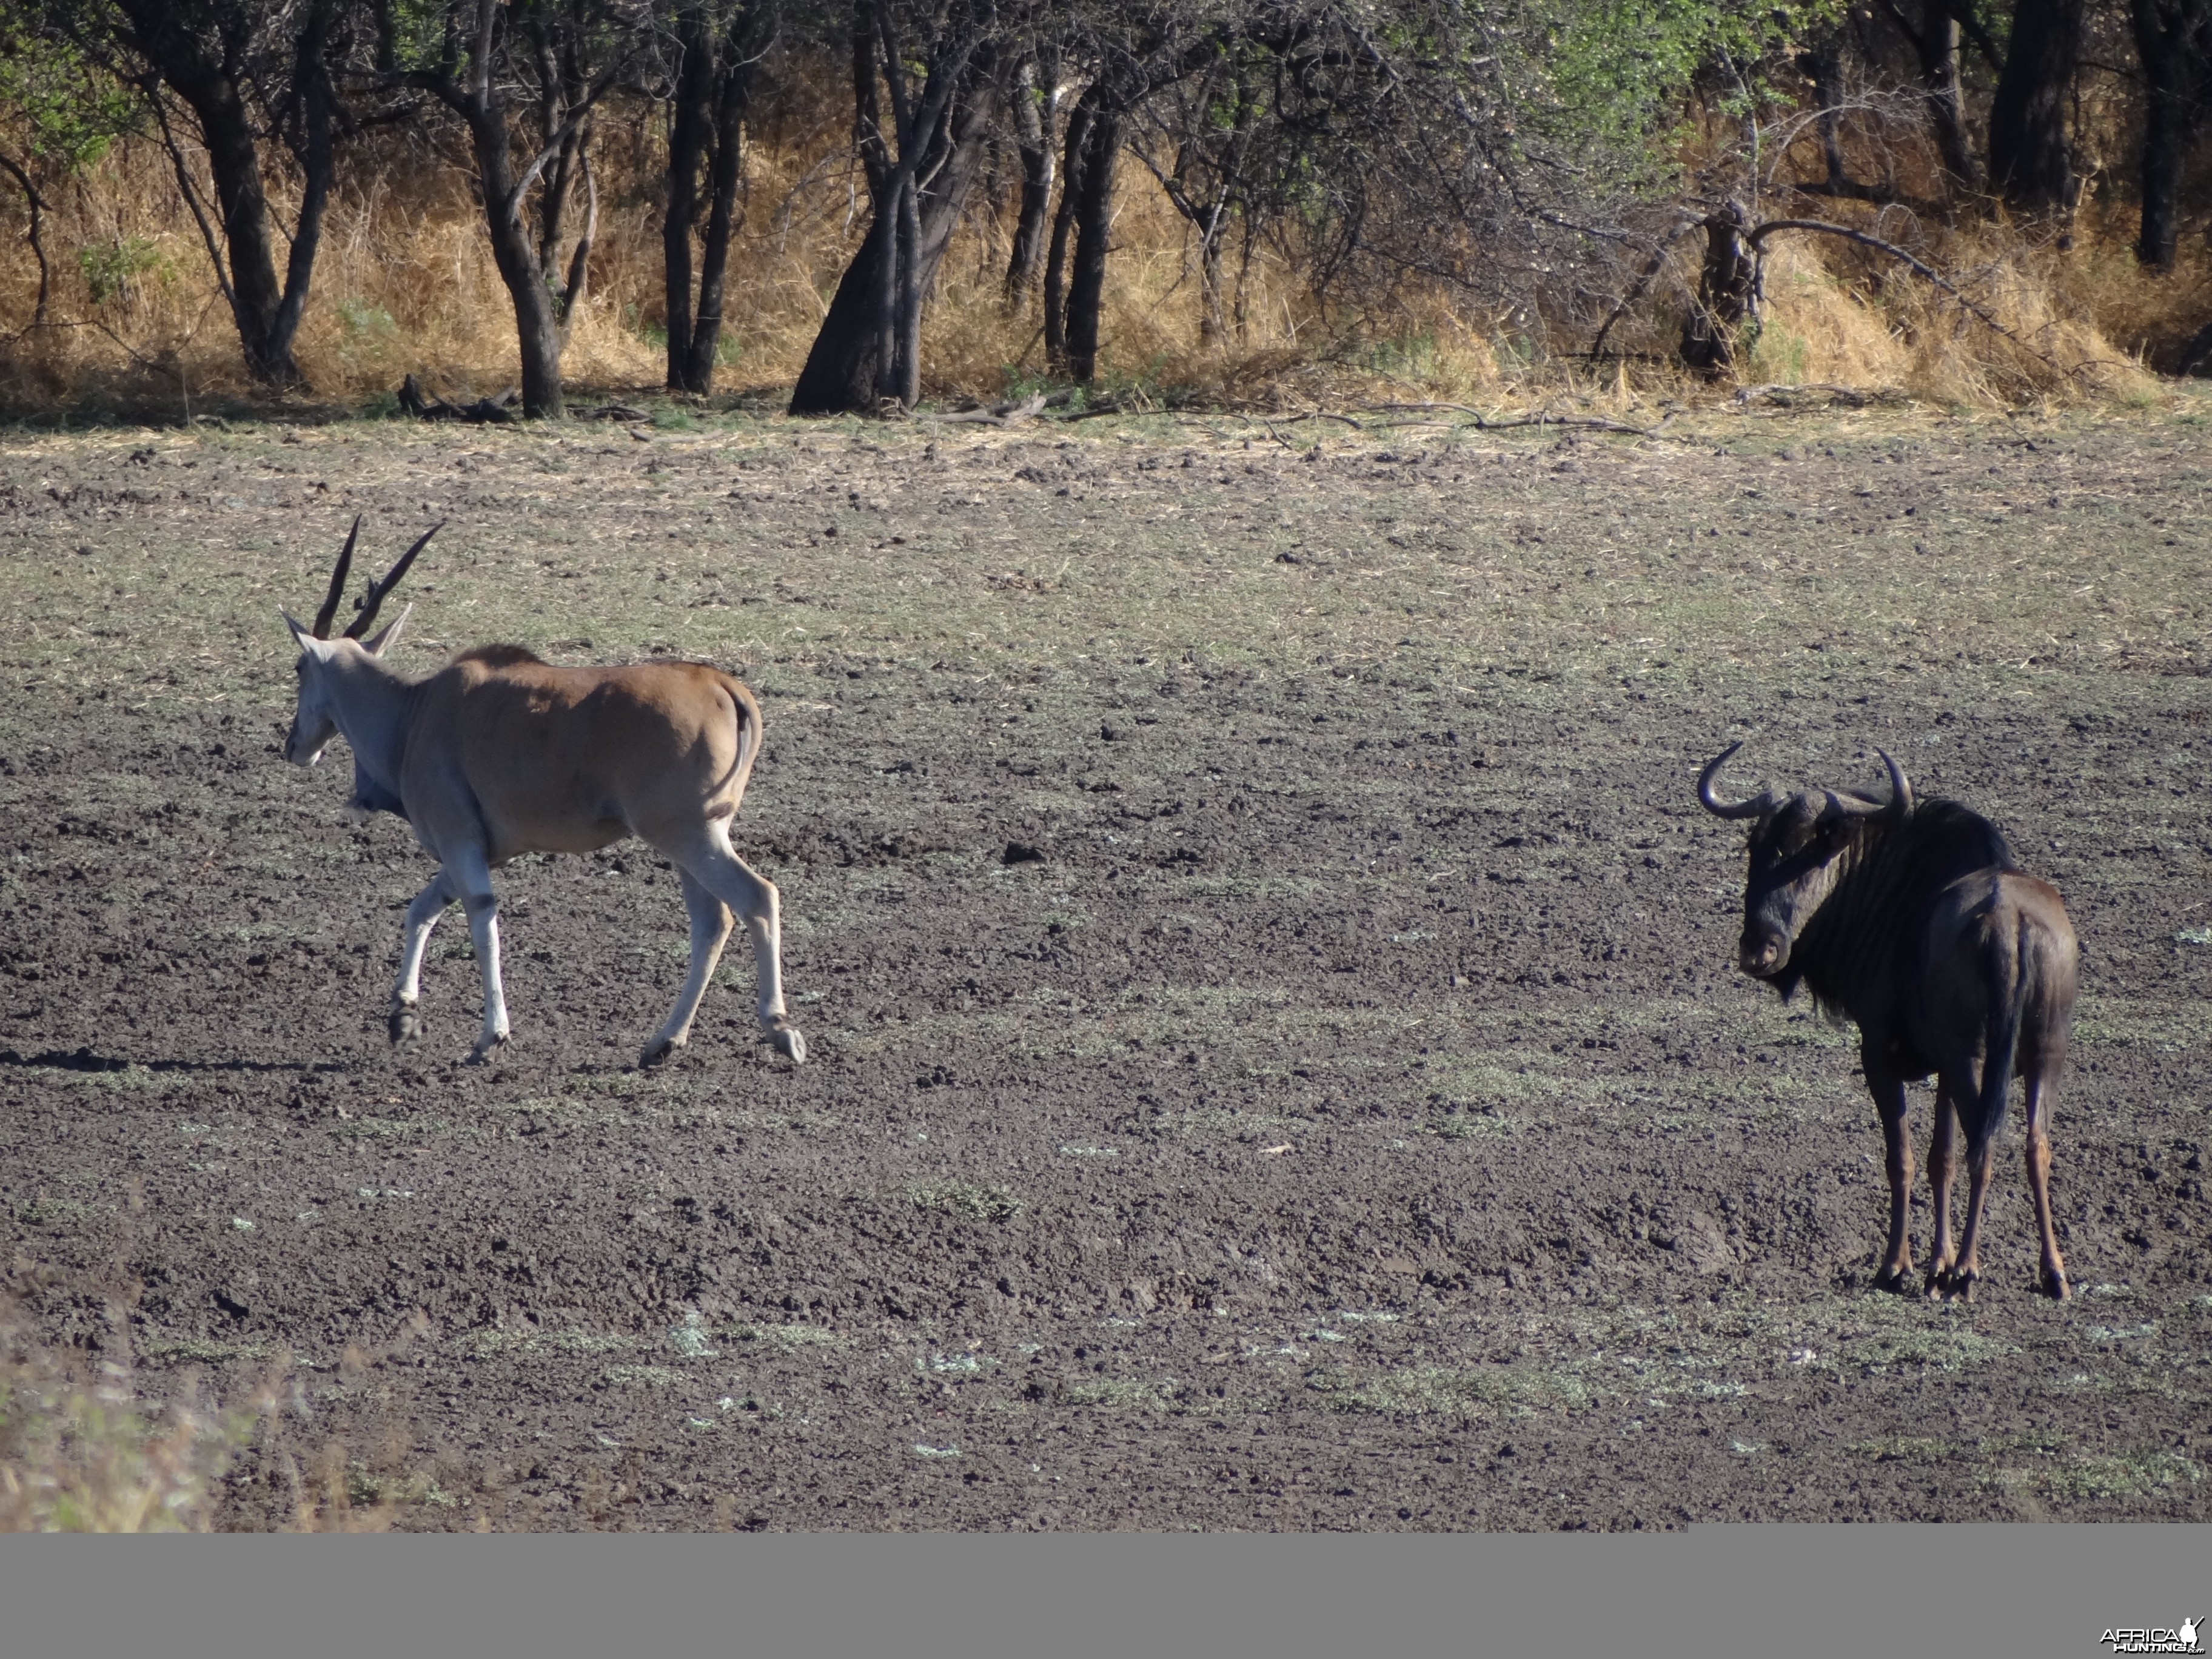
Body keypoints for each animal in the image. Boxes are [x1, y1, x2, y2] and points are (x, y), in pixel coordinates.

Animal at [278, 521, 805, 1079]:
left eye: (299, 667)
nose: (294, 746)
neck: (413, 713)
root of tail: (722, 685)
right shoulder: (480, 850)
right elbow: (422, 909)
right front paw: (403, 1015)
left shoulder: (459, 841)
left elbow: (480, 919)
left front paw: (489, 1037)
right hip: (692, 841)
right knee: (712, 920)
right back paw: (663, 1043)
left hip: (689, 836)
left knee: (757, 897)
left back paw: (780, 1030)